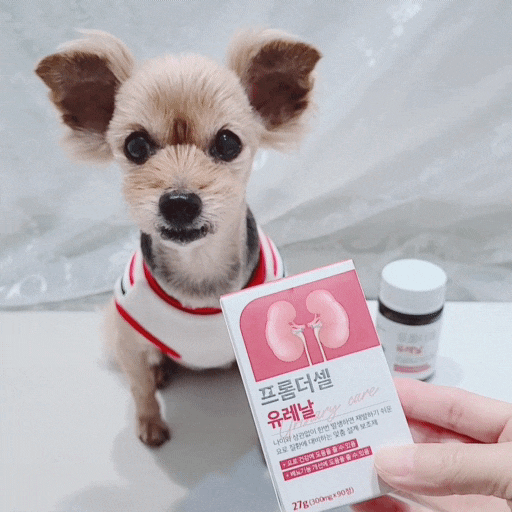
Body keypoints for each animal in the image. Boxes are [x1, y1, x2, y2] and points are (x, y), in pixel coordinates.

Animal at [36, 29, 321, 447]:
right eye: (135, 146)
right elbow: (140, 388)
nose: (179, 203)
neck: (200, 271)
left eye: (228, 143)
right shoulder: (127, 338)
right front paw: (150, 424)